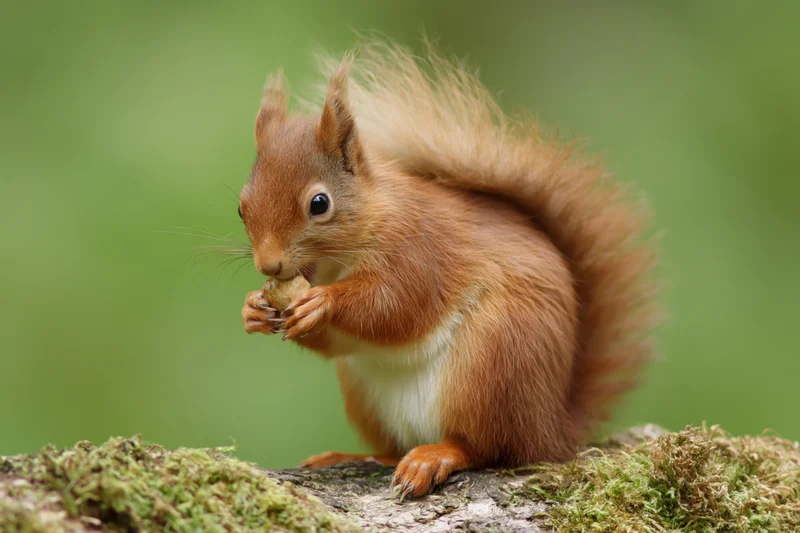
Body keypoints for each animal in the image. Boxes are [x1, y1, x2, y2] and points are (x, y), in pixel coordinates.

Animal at [239, 41, 658, 498]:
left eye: (319, 203)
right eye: (241, 207)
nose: (269, 263)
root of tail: (553, 428)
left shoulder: (418, 250)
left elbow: (396, 305)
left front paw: (323, 303)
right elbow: (337, 341)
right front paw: (253, 308)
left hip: (493, 362)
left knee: (489, 447)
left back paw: (435, 456)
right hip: (365, 392)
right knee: (393, 446)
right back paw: (353, 456)